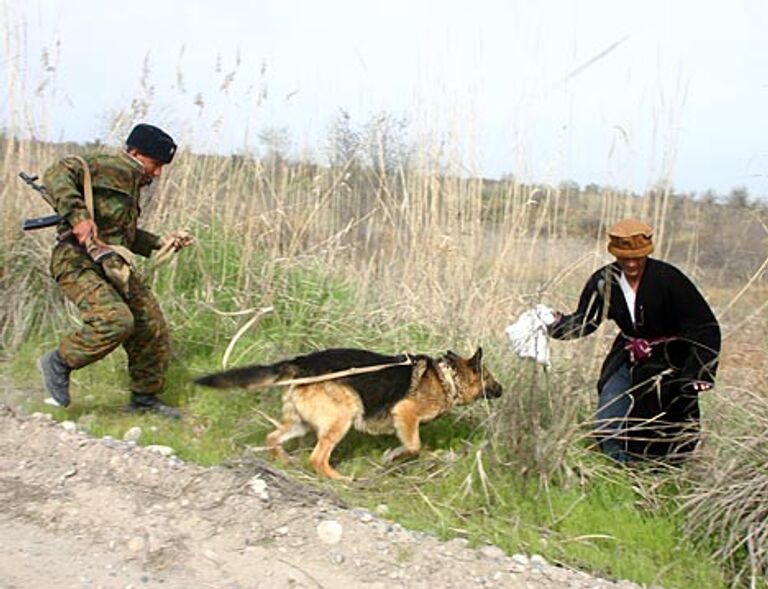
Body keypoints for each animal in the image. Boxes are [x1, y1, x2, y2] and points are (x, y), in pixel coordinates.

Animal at [195, 350, 500, 478]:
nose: (503, 390)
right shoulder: (405, 413)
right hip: (344, 416)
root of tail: (299, 364)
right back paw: (337, 478)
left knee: (273, 437)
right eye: (489, 377)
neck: (446, 377)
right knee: (317, 458)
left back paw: (283, 460)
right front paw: (393, 456)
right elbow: (414, 445)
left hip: (301, 423)